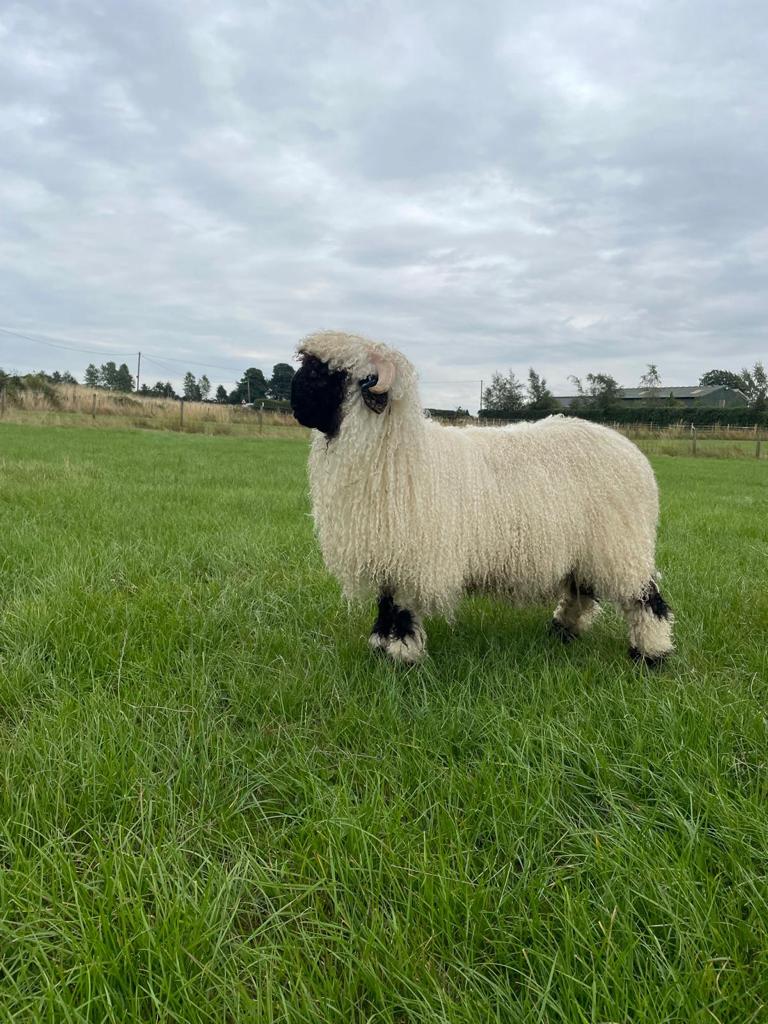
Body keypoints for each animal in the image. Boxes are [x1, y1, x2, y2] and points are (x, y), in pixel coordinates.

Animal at [290, 330, 674, 665]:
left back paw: (651, 654)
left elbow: (400, 608)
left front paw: (402, 657)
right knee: (581, 590)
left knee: (645, 597)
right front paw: (381, 648)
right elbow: (385, 604)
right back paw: (563, 630)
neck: (399, 455)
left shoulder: (414, 556)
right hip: (585, 547)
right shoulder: (388, 553)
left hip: (619, 545)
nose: (295, 406)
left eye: (328, 374)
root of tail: (631, 451)